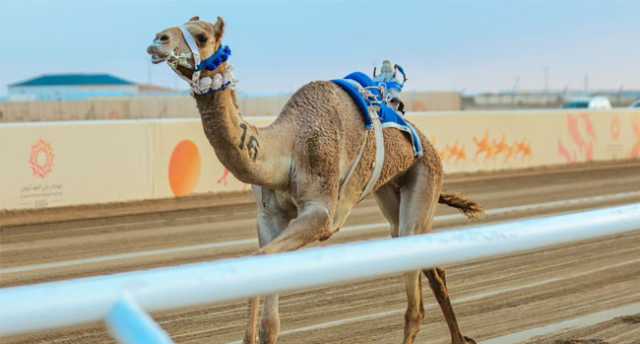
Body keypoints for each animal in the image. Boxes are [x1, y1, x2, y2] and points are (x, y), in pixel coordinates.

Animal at [148, 16, 482, 344]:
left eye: (202, 36)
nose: (157, 39)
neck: (286, 147)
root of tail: (426, 143)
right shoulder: (269, 216)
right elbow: (269, 318)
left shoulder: (320, 212)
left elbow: (259, 258)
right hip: (390, 191)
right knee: (430, 264)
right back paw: (460, 337)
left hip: (426, 174)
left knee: (415, 302)